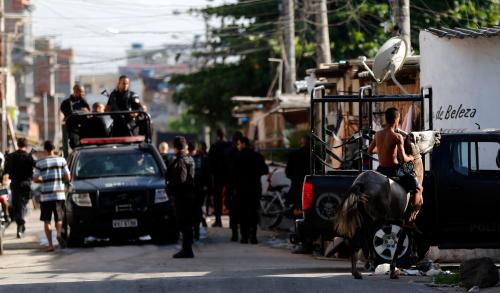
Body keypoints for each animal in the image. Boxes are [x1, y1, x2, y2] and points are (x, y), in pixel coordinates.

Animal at [334, 130, 440, 278]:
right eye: (420, 136)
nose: (437, 134)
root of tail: (361, 183)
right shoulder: (406, 219)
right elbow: (401, 242)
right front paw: (394, 268)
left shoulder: (403, 219)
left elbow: (411, 234)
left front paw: (411, 257)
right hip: (376, 218)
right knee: (362, 237)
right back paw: (362, 267)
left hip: (365, 217)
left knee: (358, 238)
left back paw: (361, 268)